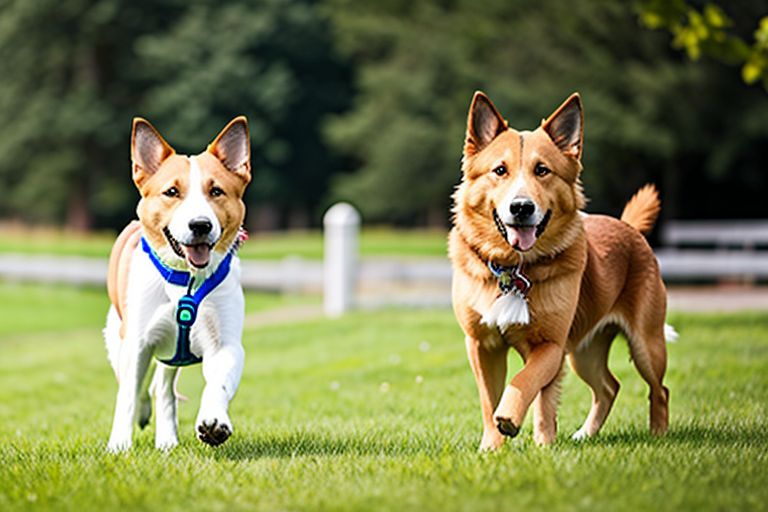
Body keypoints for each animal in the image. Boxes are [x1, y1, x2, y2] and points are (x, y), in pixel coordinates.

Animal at [103, 117, 249, 452]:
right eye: (171, 191)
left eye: (216, 191)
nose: (200, 225)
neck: (187, 281)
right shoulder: (138, 341)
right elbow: (127, 395)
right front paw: (119, 445)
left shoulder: (225, 342)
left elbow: (218, 382)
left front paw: (213, 422)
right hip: (119, 339)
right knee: (138, 386)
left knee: (164, 388)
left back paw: (167, 439)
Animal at [450, 91, 672, 448]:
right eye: (500, 170)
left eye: (543, 170)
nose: (521, 208)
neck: (513, 269)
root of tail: (627, 226)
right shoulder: (482, 345)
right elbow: (489, 400)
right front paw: (492, 448)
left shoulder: (550, 346)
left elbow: (527, 384)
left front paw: (523, 429)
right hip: (584, 352)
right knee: (609, 387)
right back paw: (584, 434)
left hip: (645, 344)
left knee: (659, 389)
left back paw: (659, 435)